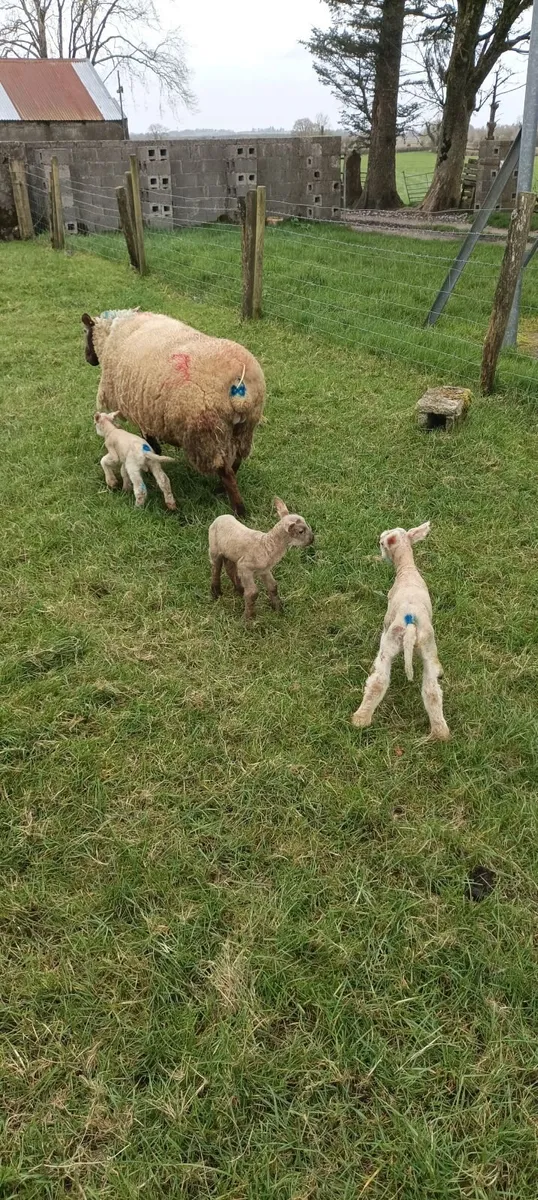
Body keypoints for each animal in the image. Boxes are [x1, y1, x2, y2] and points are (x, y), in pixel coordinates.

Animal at [81, 309, 266, 517]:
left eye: (85, 332)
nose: (88, 359)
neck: (113, 333)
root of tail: (239, 385)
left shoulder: (142, 411)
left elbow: (150, 440)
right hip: (245, 426)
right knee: (236, 461)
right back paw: (221, 489)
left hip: (206, 433)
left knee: (225, 471)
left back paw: (238, 508)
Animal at [352, 522, 450, 741]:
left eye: (381, 543)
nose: (381, 554)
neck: (407, 569)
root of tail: (410, 624)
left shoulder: (387, 621)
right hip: (428, 646)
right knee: (431, 690)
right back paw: (441, 732)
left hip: (391, 641)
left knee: (379, 681)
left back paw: (360, 719)